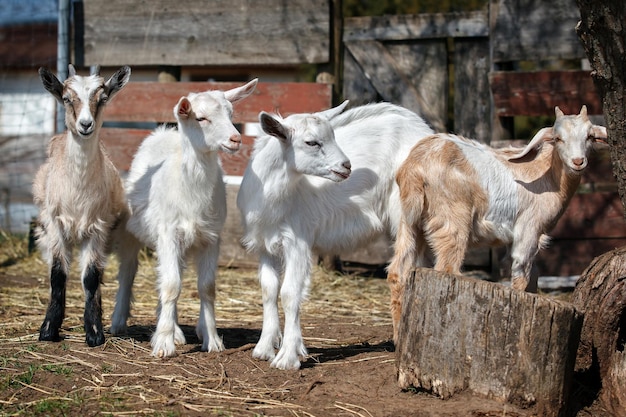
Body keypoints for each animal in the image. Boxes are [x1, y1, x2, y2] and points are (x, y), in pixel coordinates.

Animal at [34, 63, 130, 346]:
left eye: (103, 98)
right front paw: (48, 329)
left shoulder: (97, 227)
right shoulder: (55, 225)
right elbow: (57, 276)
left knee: (98, 273)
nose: (85, 124)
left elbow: (91, 278)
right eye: (67, 98)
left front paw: (95, 331)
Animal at [111, 79, 258, 358]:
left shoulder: (211, 237)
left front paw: (212, 340)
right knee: (128, 271)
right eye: (201, 118)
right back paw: (118, 322)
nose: (235, 139)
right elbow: (171, 285)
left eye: (231, 114)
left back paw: (178, 330)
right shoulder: (168, 233)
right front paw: (163, 344)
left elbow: (206, 287)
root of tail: (164, 132)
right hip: (131, 232)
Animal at [235, 101, 434, 368]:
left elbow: (289, 293)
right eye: (311, 142)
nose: (346, 166)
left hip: (407, 212)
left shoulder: (297, 241)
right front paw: (265, 348)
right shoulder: (265, 245)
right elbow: (269, 290)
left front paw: (287, 358)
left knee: (404, 269)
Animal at [388, 105, 608, 342]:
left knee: (398, 271)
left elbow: (533, 275)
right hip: (451, 218)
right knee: (447, 268)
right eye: (558, 138)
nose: (578, 162)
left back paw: (399, 336)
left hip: (409, 221)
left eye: (590, 136)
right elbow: (521, 275)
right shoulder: (529, 229)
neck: (547, 176)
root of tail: (415, 168)